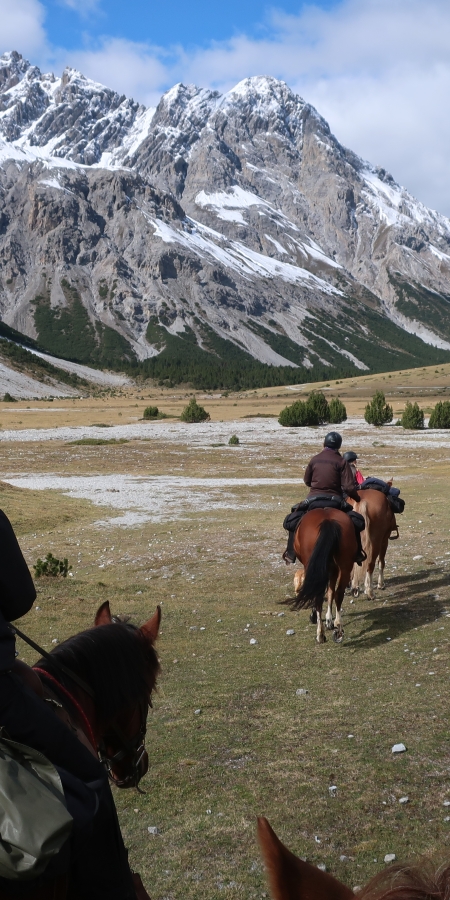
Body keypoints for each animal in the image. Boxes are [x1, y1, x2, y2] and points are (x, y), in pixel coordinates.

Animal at [286, 510, 356, 644]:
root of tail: (328, 520)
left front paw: (319, 618)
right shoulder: (333, 569)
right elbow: (330, 592)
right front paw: (329, 620)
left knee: (318, 597)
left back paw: (320, 634)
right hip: (345, 566)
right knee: (338, 593)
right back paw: (338, 629)